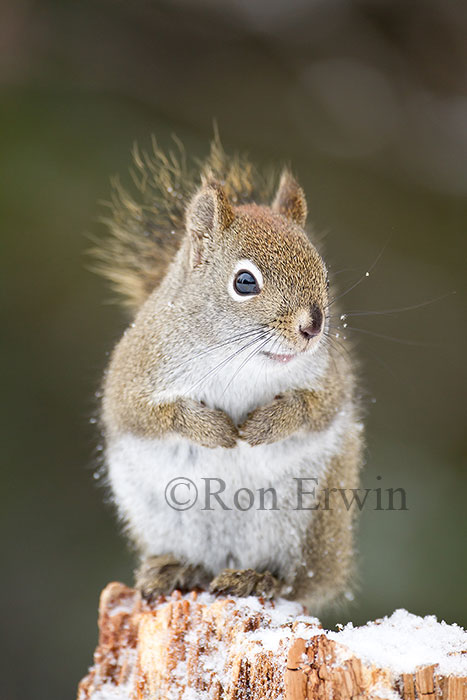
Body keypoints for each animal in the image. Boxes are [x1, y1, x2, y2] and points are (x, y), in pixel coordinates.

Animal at [94, 134, 364, 610]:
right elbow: (147, 415)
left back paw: (256, 578)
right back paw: (177, 568)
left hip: (306, 519)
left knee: (295, 581)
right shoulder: (134, 374)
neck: (240, 359)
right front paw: (214, 429)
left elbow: (317, 407)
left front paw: (264, 425)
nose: (312, 327)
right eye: (244, 282)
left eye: (324, 276)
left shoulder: (331, 377)